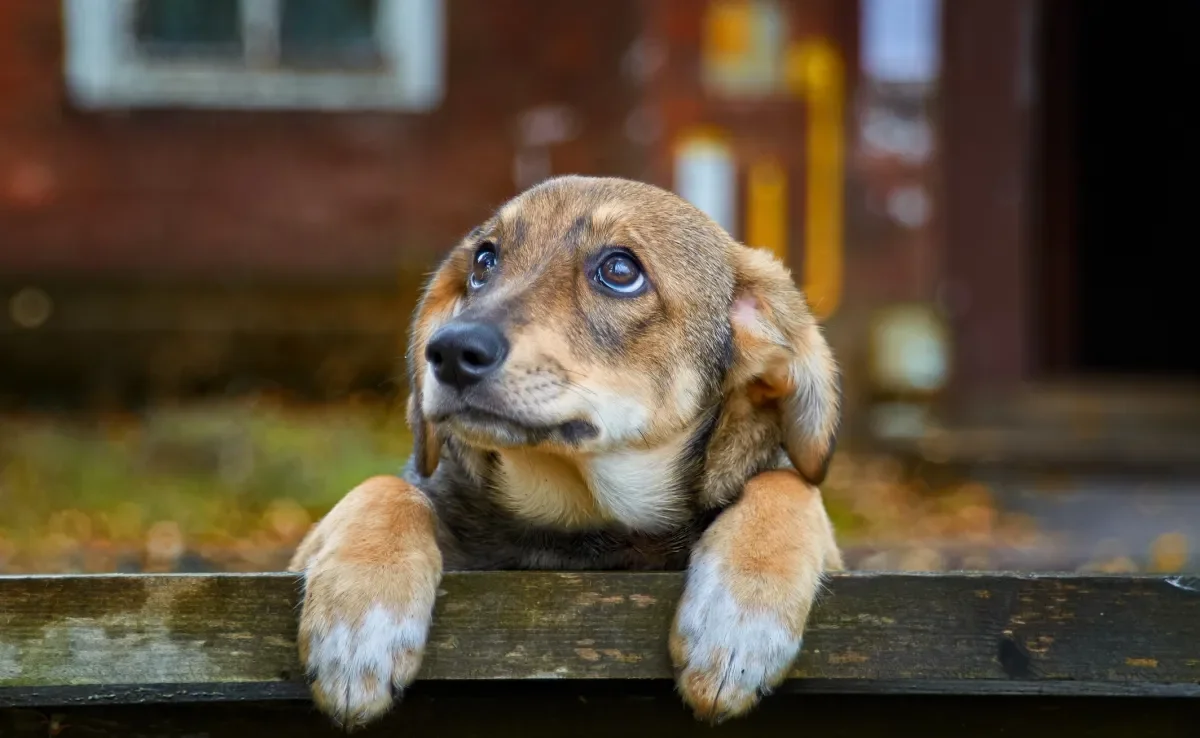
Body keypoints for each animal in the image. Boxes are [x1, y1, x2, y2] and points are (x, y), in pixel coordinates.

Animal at [288, 175, 844, 734]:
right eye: (484, 261)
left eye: (620, 270)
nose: (448, 351)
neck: (578, 518)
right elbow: (386, 487)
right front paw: (358, 625)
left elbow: (789, 483)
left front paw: (740, 623)